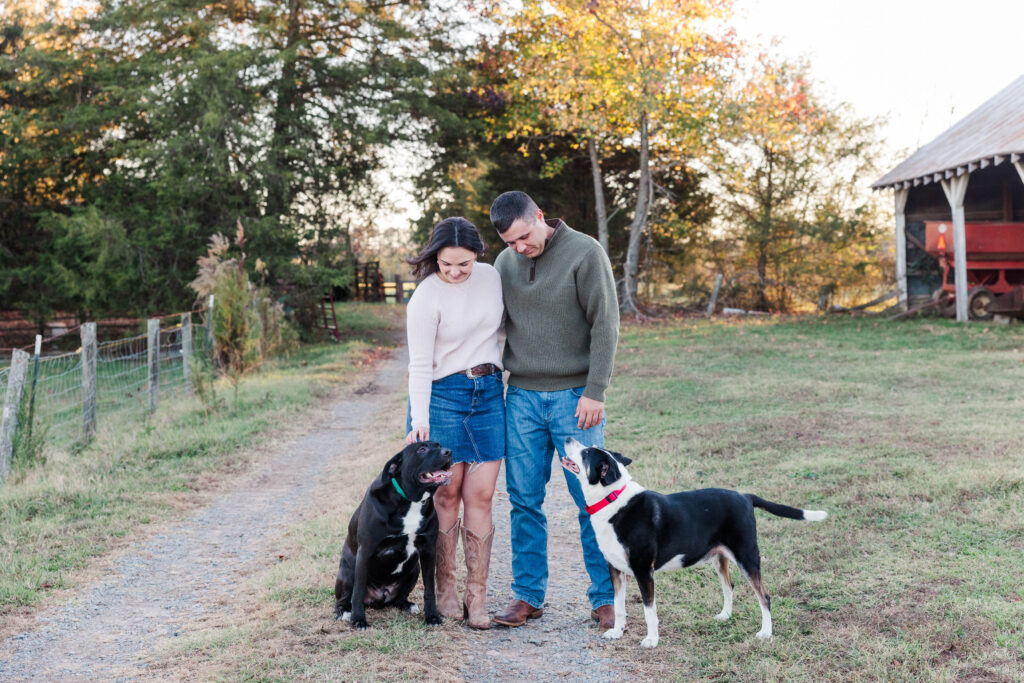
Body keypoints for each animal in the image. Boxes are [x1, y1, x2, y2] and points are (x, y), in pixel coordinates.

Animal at [335, 444, 452, 630]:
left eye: (439, 445)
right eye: (422, 449)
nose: (448, 452)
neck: (411, 501)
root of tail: (379, 599)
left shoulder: (428, 551)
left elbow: (430, 589)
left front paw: (432, 616)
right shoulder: (365, 551)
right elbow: (358, 592)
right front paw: (358, 619)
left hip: (414, 569)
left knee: (398, 599)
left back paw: (408, 605)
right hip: (349, 572)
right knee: (343, 599)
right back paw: (345, 612)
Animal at [557, 438, 827, 647]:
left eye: (586, 452)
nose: (568, 438)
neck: (612, 500)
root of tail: (744, 496)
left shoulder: (644, 571)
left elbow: (649, 610)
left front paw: (652, 640)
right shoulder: (615, 569)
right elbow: (619, 606)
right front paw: (616, 632)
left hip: (746, 555)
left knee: (764, 597)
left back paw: (765, 633)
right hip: (719, 557)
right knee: (729, 586)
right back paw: (725, 615)